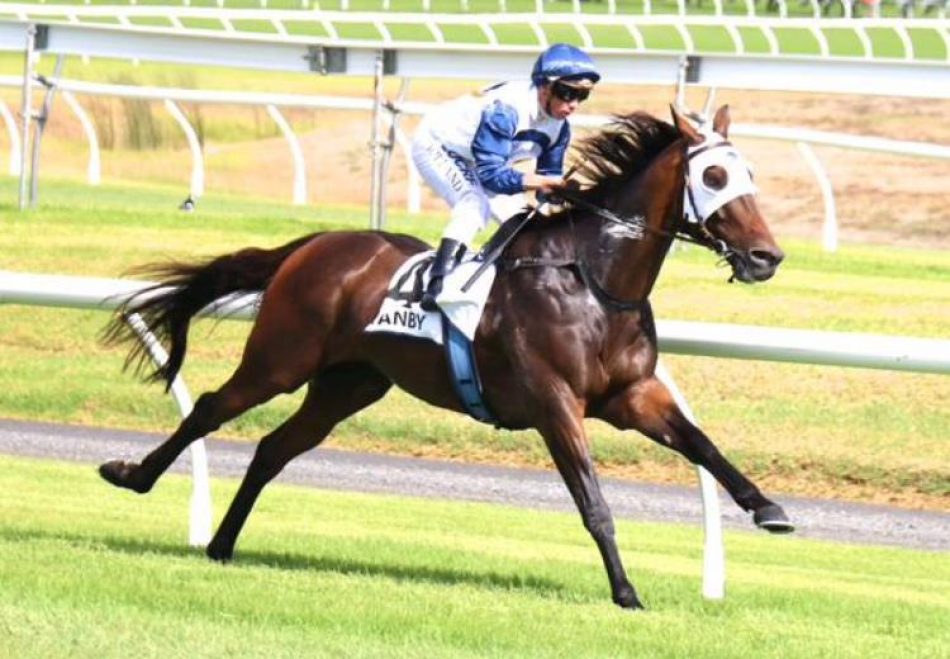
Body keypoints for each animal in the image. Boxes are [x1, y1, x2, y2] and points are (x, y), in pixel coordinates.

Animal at [100, 105, 791, 610]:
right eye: (715, 178)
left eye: (752, 175)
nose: (767, 257)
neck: (592, 280)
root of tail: (316, 244)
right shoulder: (555, 404)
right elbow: (594, 503)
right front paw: (625, 592)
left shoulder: (632, 397)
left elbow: (703, 445)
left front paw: (771, 510)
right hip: (281, 359)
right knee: (211, 408)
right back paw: (132, 475)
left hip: (349, 384)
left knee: (273, 448)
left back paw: (221, 544)